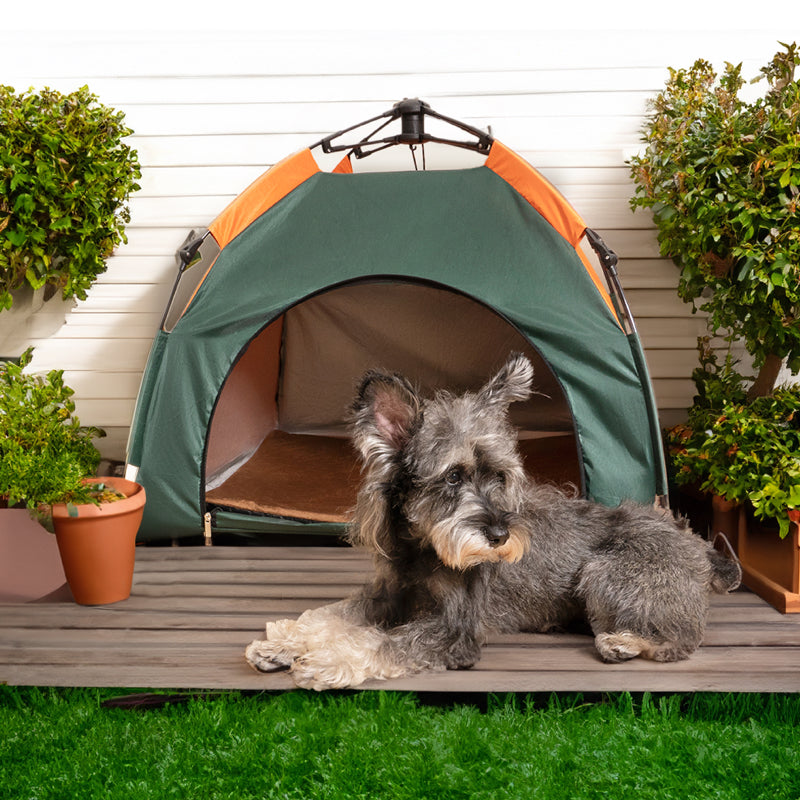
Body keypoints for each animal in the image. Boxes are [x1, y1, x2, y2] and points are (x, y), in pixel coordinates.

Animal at [245, 354, 744, 692]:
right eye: (453, 476)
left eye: (499, 477)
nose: (501, 536)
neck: (421, 548)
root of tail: (697, 547)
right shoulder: (387, 593)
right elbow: (330, 615)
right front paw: (282, 644)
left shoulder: (454, 631)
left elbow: (379, 642)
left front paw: (323, 661)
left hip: (606, 572)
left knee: (683, 639)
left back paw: (622, 643)